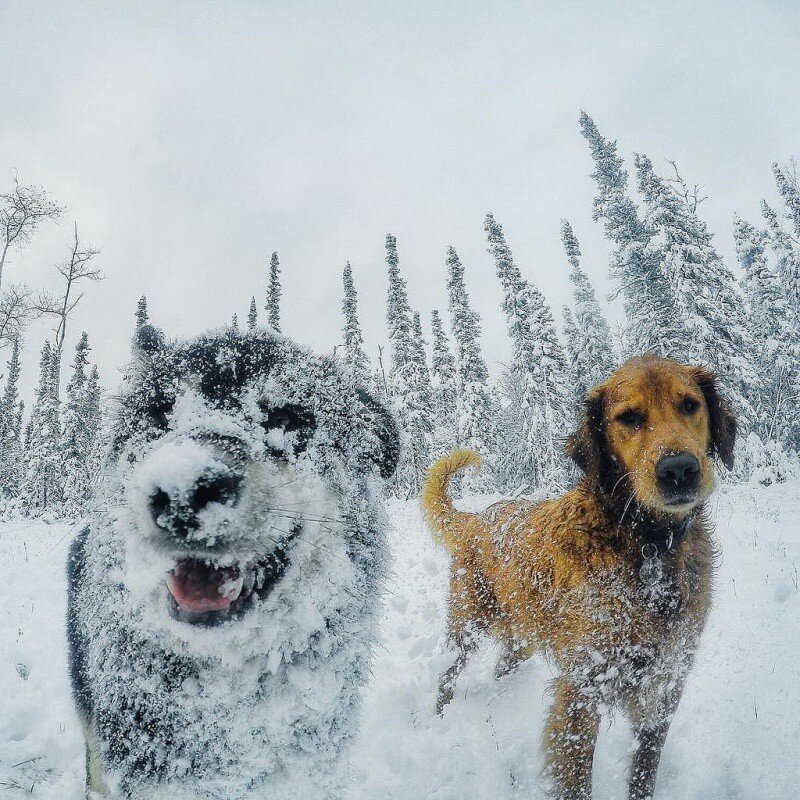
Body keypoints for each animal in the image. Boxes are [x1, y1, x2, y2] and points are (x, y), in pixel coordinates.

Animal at [424, 354, 736, 800]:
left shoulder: (665, 683)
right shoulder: (582, 689)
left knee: (503, 665)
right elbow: (576, 780)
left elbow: (644, 772)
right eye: (629, 417)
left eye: (690, 405)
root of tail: (478, 518)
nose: (679, 470)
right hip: (466, 626)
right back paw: (439, 717)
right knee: (446, 675)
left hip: (522, 637)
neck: (646, 545)